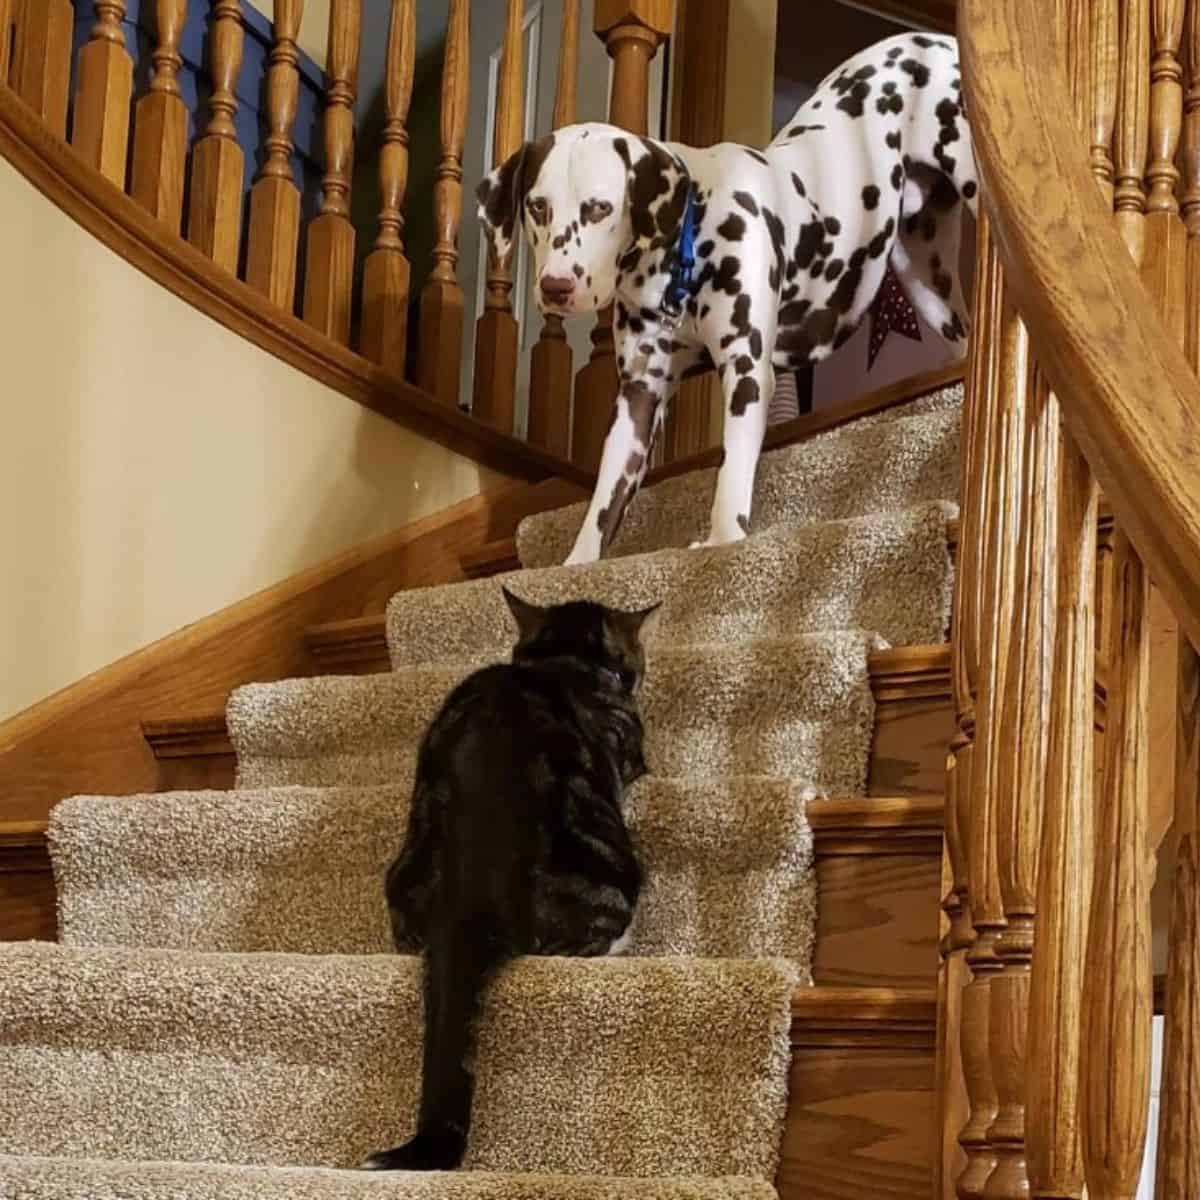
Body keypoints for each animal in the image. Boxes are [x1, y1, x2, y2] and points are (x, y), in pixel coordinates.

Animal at [360, 590, 662, 1171]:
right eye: (634, 661)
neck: (563, 660)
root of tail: (466, 899)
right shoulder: (631, 748)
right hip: (610, 877)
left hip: (403, 871)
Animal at [477, 31, 974, 566]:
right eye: (537, 207)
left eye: (599, 208)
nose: (556, 286)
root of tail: (935, 38)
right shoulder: (638, 396)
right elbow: (603, 499)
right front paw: (579, 561)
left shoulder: (747, 368)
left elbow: (731, 468)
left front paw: (723, 539)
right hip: (927, 280)